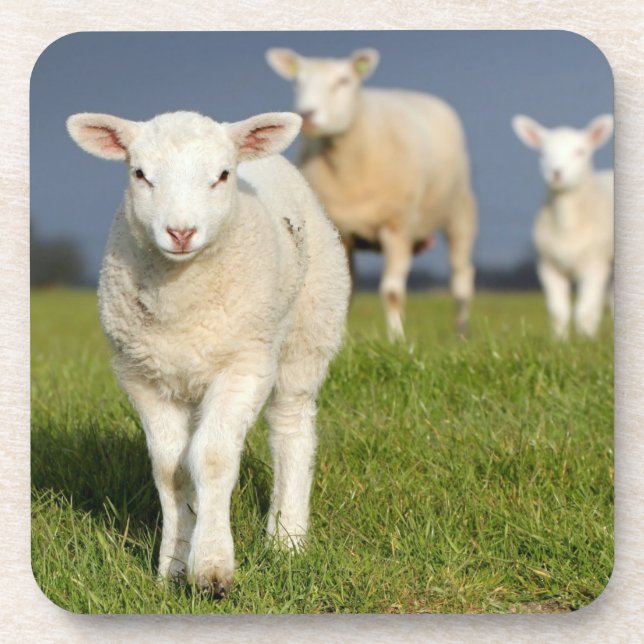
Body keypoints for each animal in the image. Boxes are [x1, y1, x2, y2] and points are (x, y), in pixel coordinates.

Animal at [66, 109, 350, 595]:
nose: (180, 232)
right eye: (139, 174)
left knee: (291, 429)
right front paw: (173, 566)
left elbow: (213, 458)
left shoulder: (244, 366)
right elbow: (171, 468)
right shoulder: (142, 376)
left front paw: (213, 568)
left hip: (309, 330)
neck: (182, 299)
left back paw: (287, 538)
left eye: (221, 175)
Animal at [265, 47, 478, 340]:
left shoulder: (397, 228)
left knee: (461, 278)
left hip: (459, 213)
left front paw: (397, 339)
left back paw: (461, 333)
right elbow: (345, 290)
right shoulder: (341, 234)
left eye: (343, 80)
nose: (307, 114)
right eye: (298, 81)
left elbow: (392, 292)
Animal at [512, 114, 614, 338]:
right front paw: (560, 340)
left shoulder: (594, 265)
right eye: (542, 153)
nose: (556, 173)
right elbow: (558, 311)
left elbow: (585, 310)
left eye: (580, 151)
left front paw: (585, 340)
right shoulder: (547, 266)